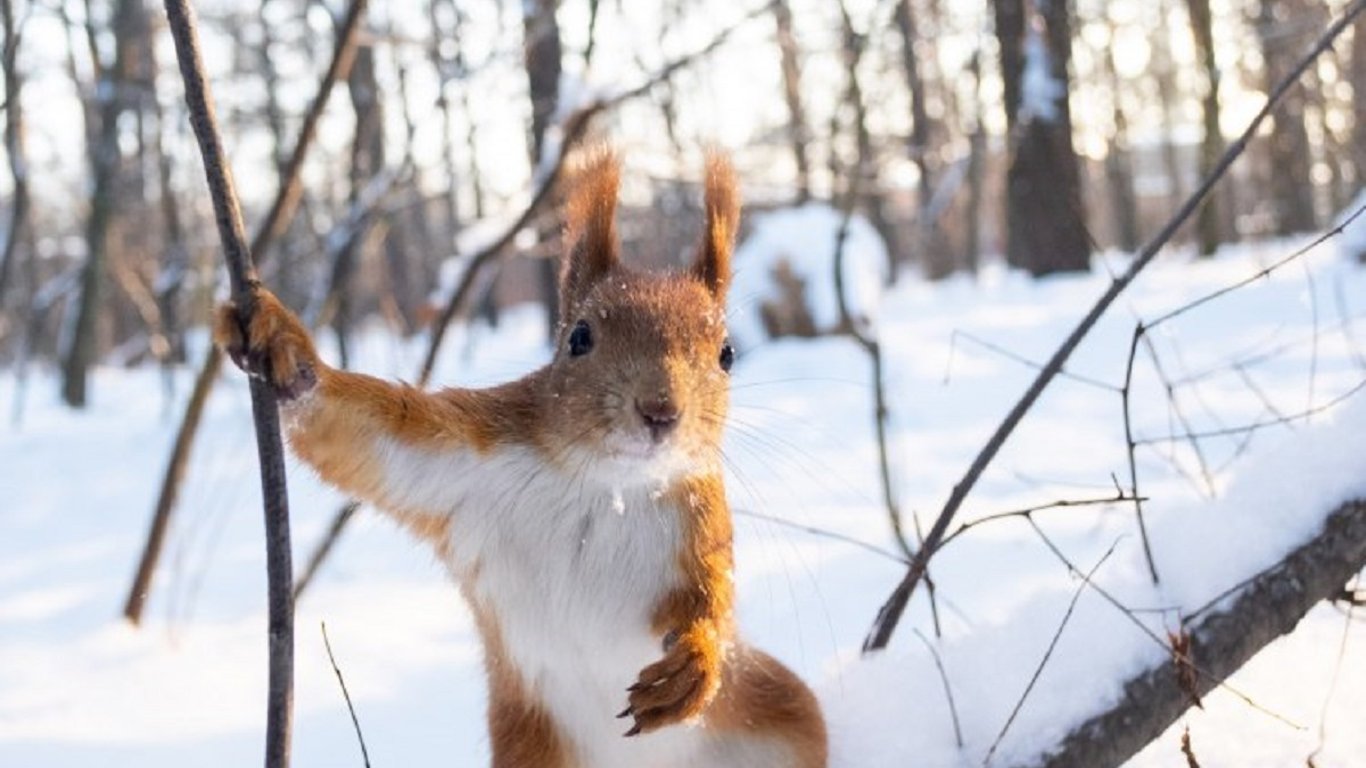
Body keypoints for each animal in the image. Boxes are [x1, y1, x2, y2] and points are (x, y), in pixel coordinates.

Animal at [218, 149, 825, 765]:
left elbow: (713, 600)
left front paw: (694, 665)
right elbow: (357, 432)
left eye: (727, 354)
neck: (608, 484)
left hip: (782, 719)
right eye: (578, 338)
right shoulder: (465, 455)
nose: (659, 411)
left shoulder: (702, 524)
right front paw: (283, 347)